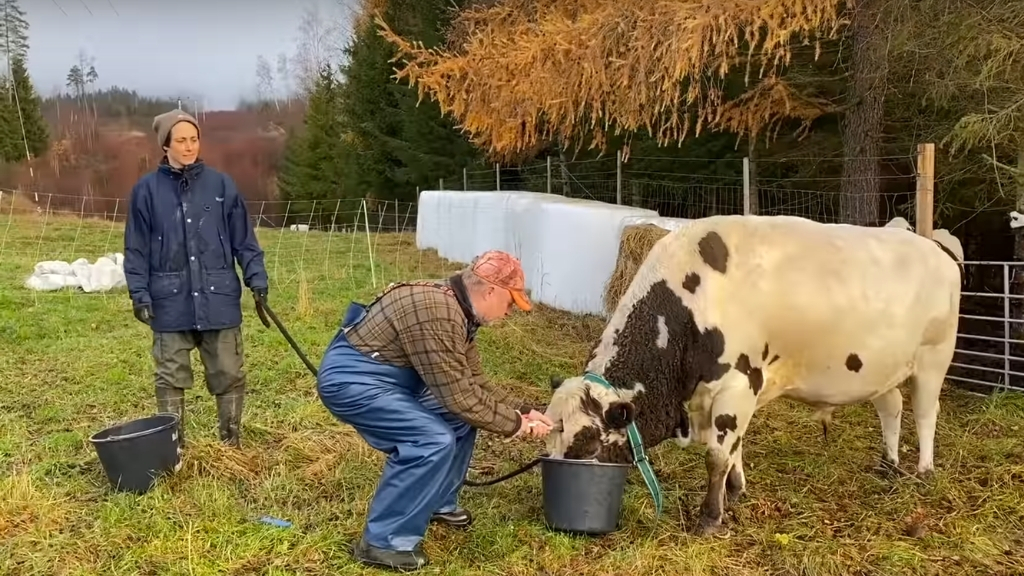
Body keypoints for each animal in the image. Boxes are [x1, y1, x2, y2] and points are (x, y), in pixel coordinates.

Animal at [544, 213, 958, 532]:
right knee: (891, 407)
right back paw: (888, 465)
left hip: (933, 358)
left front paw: (710, 517)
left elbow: (717, 455)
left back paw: (924, 470)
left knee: (926, 412)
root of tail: (933, 247)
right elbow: (734, 447)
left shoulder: (738, 384)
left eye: (590, 441)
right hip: (882, 367)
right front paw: (735, 490)